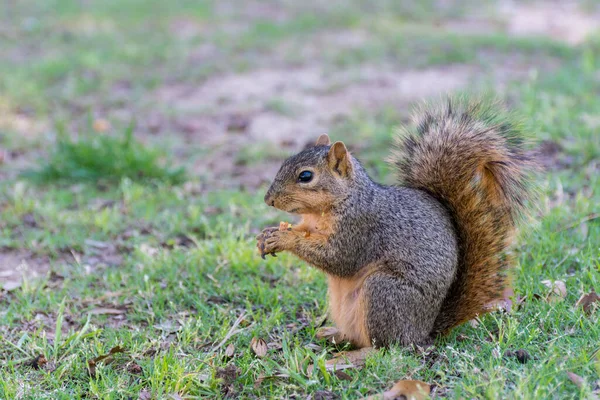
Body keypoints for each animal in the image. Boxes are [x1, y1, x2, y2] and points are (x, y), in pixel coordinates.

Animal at [255, 97, 536, 346]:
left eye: (305, 176)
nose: (269, 200)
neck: (328, 207)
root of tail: (424, 332)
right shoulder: (311, 224)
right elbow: (306, 234)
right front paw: (266, 236)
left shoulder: (360, 228)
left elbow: (339, 259)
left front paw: (283, 238)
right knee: (358, 338)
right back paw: (333, 335)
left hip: (383, 292)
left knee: (384, 346)